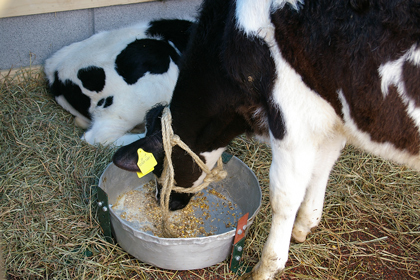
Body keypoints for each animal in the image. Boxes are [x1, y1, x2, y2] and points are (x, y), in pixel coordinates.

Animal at [113, 0, 420, 278]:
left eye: (158, 168)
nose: (164, 203)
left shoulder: (292, 119)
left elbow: (285, 196)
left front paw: (267, 267)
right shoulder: (332, 117)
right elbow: (322, 167)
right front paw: (306, 223)